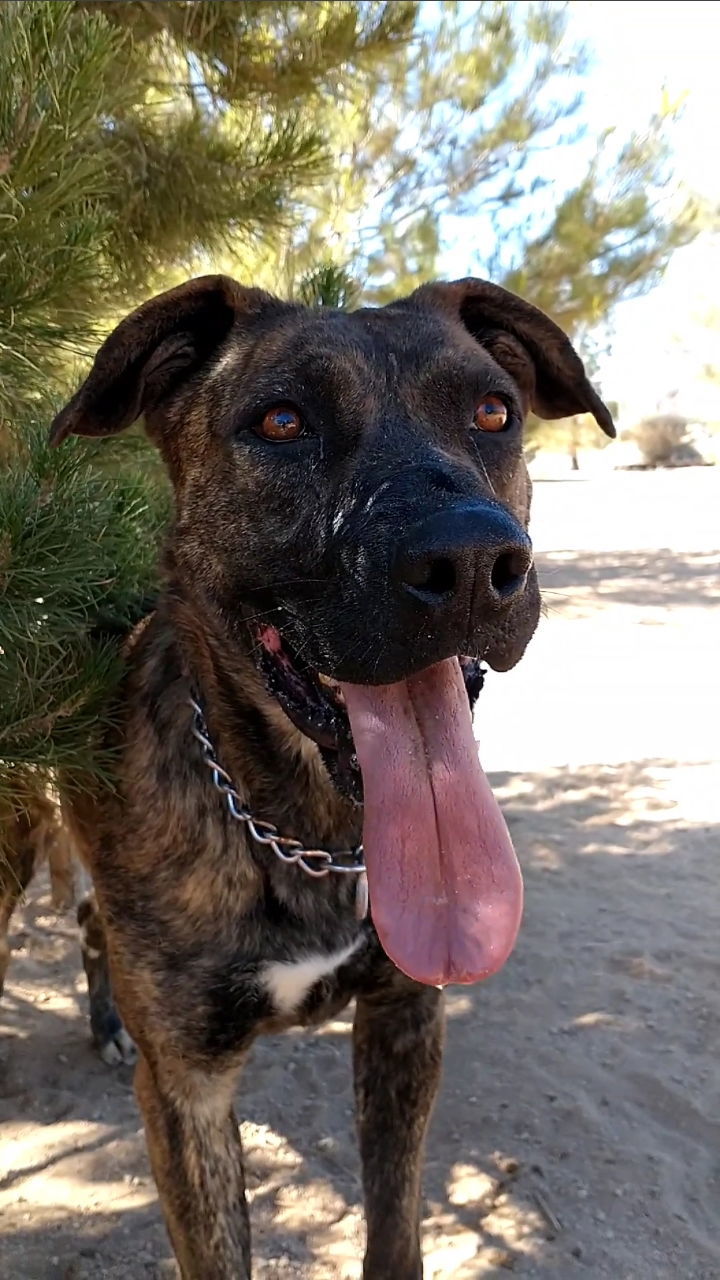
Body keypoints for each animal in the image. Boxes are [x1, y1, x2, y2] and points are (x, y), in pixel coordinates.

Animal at [46, 280, 609, 1280]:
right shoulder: (186, 1093)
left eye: (493, 412)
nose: (472, 563)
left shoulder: (403, 1022)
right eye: (282, 422)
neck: (309, 832)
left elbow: (395, 1230)